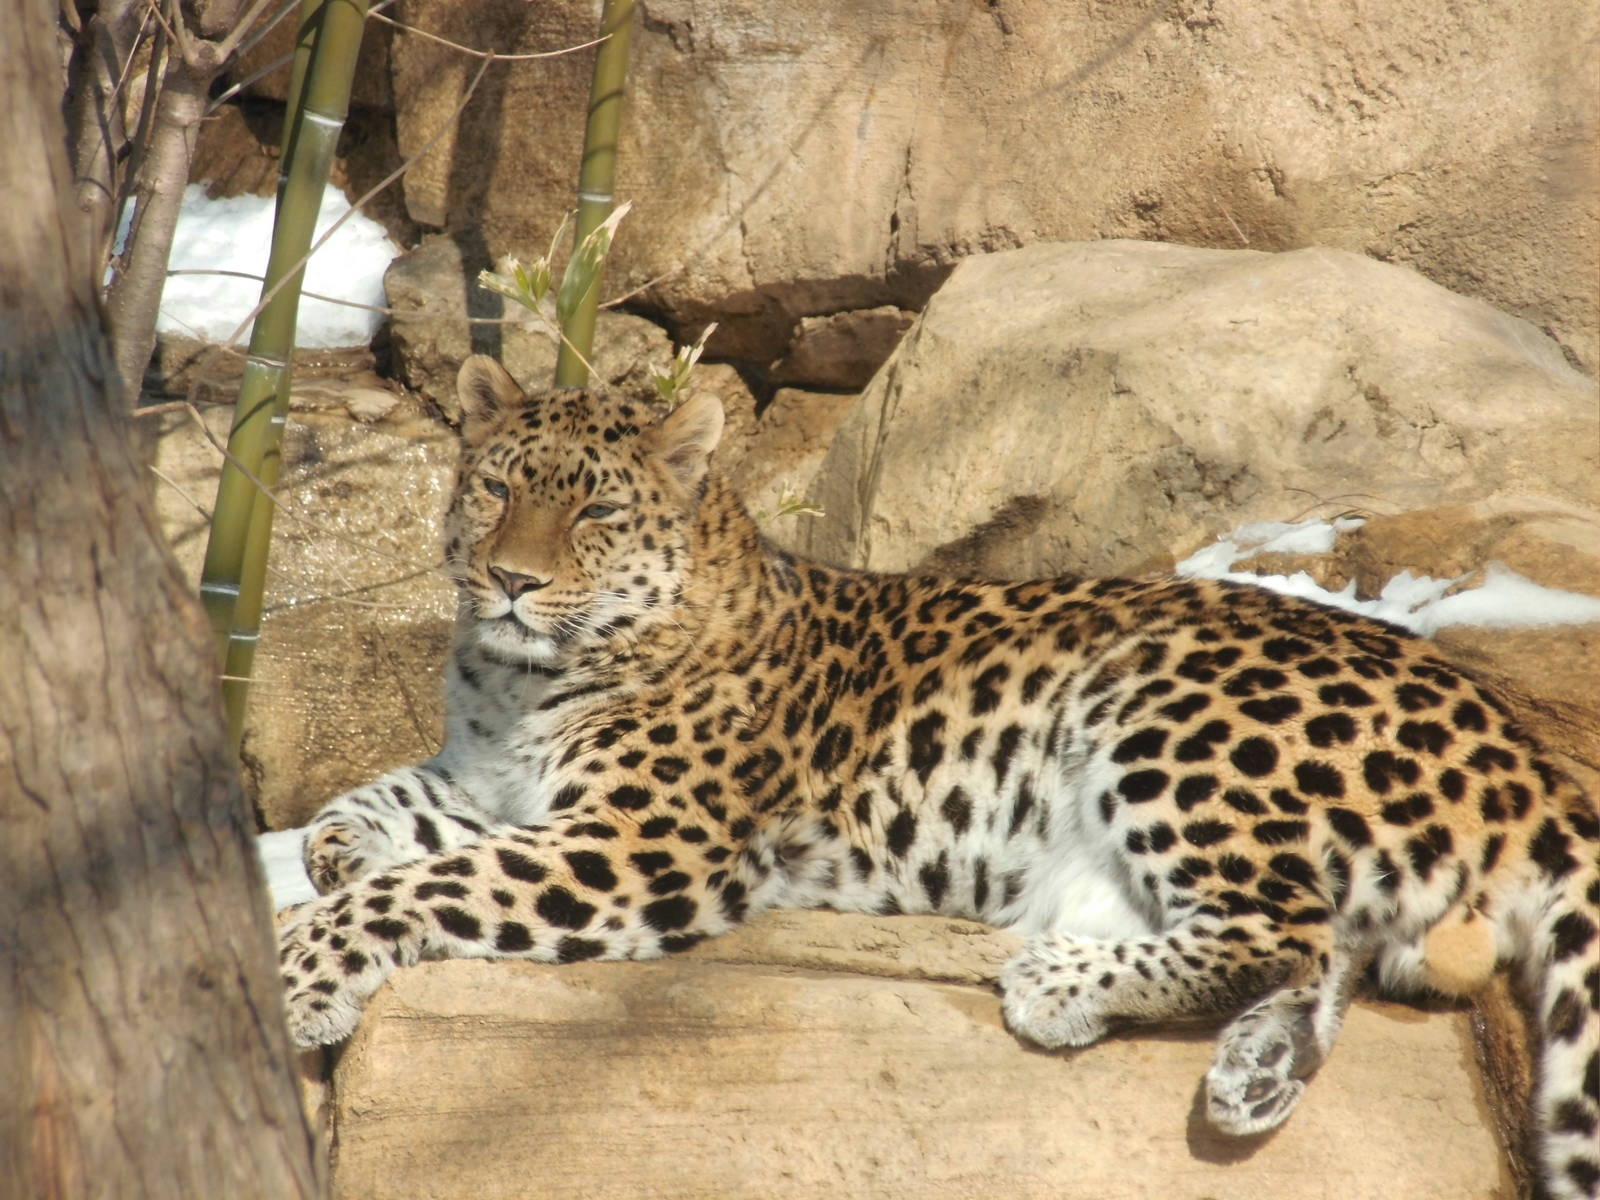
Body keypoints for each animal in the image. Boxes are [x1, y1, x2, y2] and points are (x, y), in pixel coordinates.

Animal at [278, 354, 1600, 1199]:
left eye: (595, 512)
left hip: (1167, 706)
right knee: (1326, 954)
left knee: (1279, 924)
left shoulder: (637, 845)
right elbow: (376, 811)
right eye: (498, 486)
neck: (514, 675)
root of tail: (1518, 743)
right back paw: (1254, 1074)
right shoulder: (488, 780)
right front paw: (337, 849)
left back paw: (1058, 984)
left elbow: (423, 887)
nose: (509, 579)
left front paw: (296, 973)